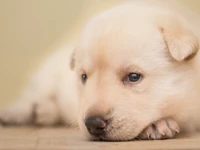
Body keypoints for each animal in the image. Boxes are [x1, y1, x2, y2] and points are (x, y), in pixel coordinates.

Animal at [0, 0, 200, 141]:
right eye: (84, 77)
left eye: (134, 77)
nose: (93, 123)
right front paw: (157, 124)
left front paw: (158, 124)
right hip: (47, 78)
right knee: (30, 97)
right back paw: (16, 113)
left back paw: (43, 112)